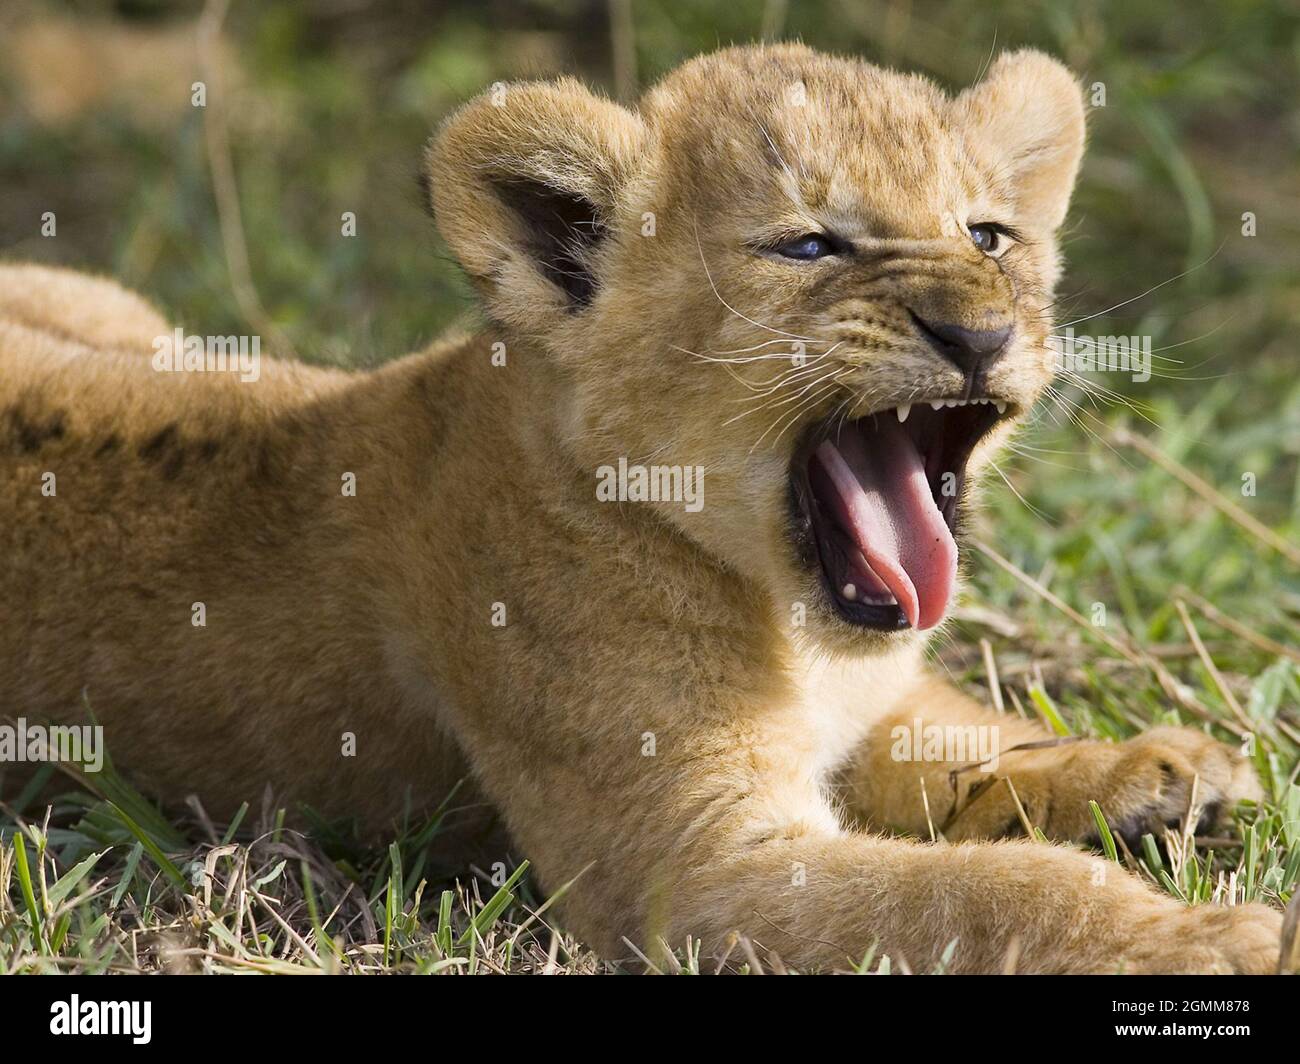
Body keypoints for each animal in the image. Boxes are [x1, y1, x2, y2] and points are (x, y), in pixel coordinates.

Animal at [0, 44, 1282, 973]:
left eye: (987, 234)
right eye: (809, 245)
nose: (978, 331)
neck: (786, 617)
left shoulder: (869, 705)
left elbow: (971, 734)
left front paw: (1156, 768)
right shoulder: (689, 868)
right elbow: (987, 893)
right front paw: (1214, 937)